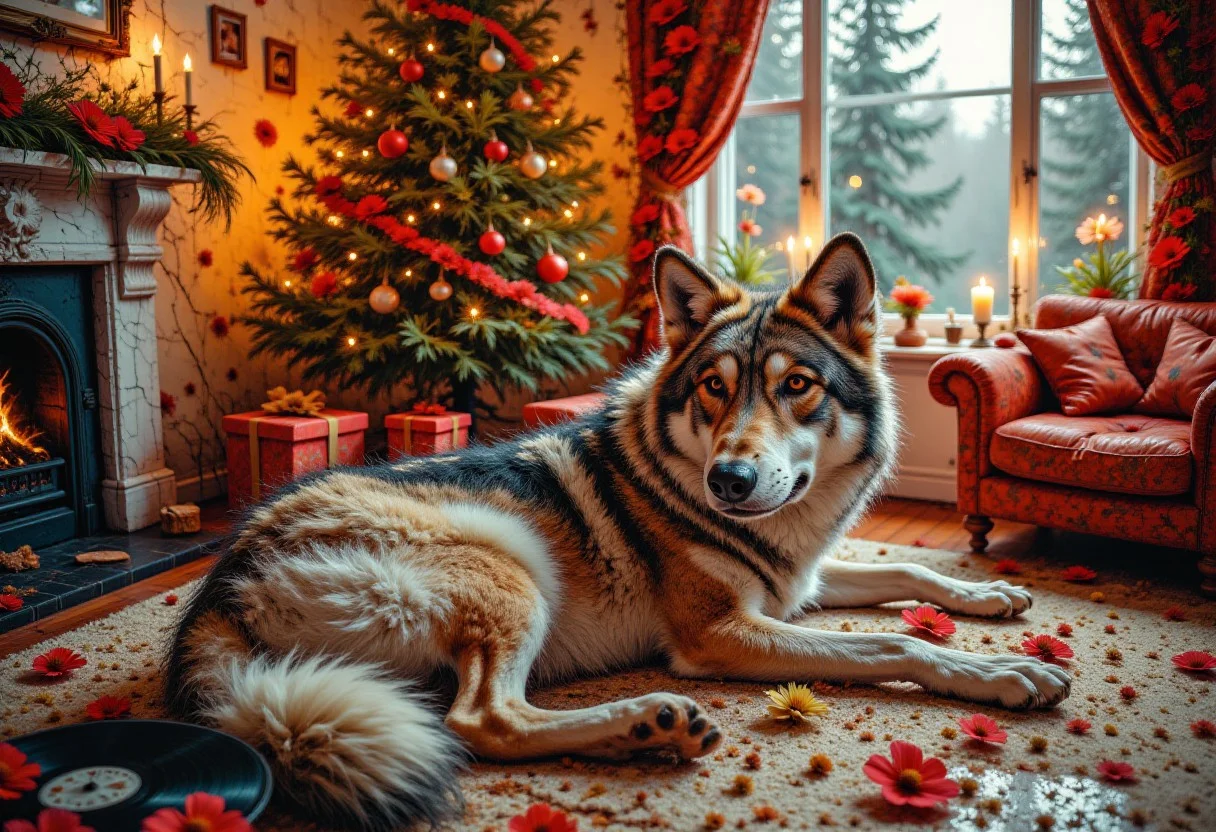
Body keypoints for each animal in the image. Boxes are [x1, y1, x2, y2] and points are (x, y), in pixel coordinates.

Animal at [165, 234, 1070, 829]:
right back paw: (648, 723)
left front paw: (992, 595)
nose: (729, 481)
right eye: (713, 387)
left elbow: (912, 577)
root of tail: (221, 580)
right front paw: (1006, 673)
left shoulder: (799, 583)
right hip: (514, 571)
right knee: (483, 723)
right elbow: (895, 643)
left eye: (797, 386)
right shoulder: (725, 634)